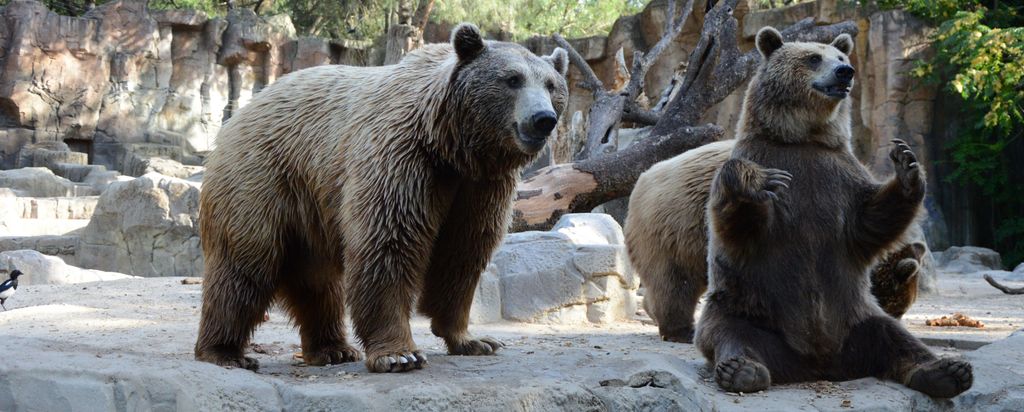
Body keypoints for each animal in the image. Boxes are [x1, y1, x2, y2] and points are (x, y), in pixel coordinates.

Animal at [194, 23, 569, 373]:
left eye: (551, 85)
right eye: (512, 79)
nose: (543, 119)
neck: (452, 145)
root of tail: (241, 112)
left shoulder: (481, 186)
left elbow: (463, 253)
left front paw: (473, 340)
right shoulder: (402, 158)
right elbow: (389, 242)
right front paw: (400, 354)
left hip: (310, 206)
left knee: (317, 281)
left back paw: (332, 348)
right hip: (262, 179)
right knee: (244, 266)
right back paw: (224, 352)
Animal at [693, 27, 970, 397]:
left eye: (841, 57)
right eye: (813, 58)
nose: (845, 73)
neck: (804, 139)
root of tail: (818, 364)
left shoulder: (838, 176)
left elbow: (870, 220)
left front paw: (907, 164)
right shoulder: (768, 160)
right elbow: (741, 226)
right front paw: (757, 182)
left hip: (857, 317)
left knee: (895, 338)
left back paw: (946, 371)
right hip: (747, 308)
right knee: (730, 333)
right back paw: (742, 370)